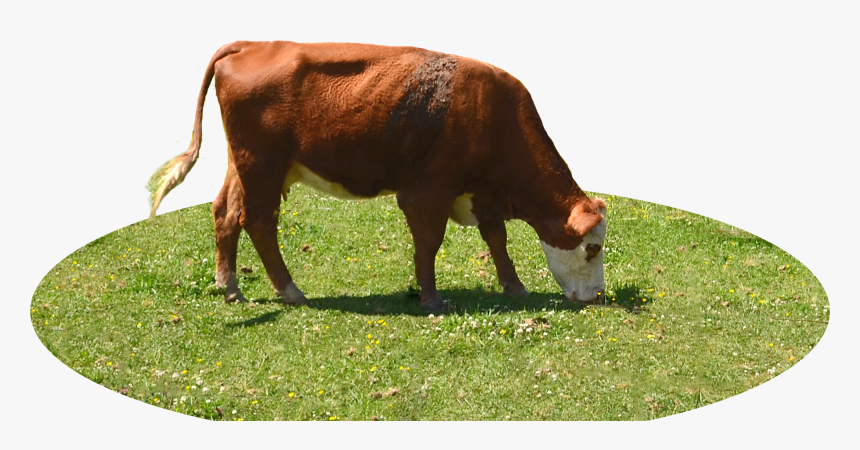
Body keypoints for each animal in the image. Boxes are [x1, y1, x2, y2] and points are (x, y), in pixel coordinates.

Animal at [148, 41, 608, 311]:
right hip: (263, 165)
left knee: (225, 213)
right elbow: (429, 243)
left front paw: (514, 286)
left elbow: (497, 239)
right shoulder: (428, 192)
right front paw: (431, 298)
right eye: (592, 248)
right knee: (259, 222)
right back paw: (290, 291)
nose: (599, 295)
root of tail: (252, 45)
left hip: (242, 164)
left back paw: (229, 286)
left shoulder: (480, 192)